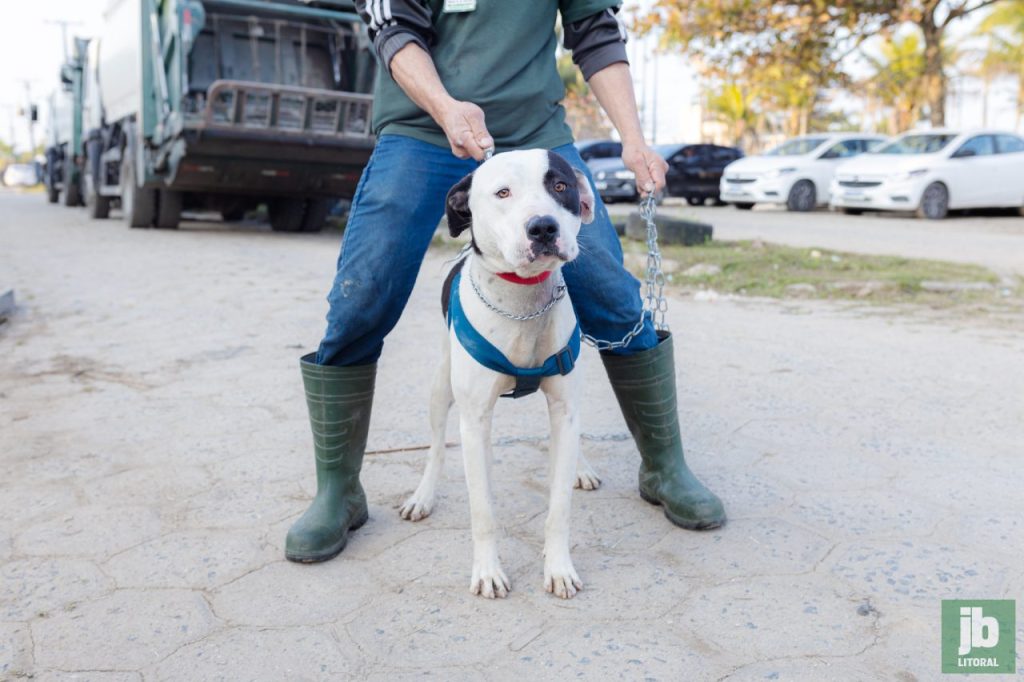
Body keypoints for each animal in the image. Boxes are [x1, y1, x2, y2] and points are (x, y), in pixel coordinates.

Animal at [397, 148, 598, 593]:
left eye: (560, 185)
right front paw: (488, 572)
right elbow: (483, 511)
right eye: (502, 192)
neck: (524, 301)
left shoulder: (565, 407)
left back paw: (581, 466)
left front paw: (559, 567)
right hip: (440, 387)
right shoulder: (474, 422)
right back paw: (423, 495)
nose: (543, 227)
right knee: (436, 447)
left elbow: (559, 507)